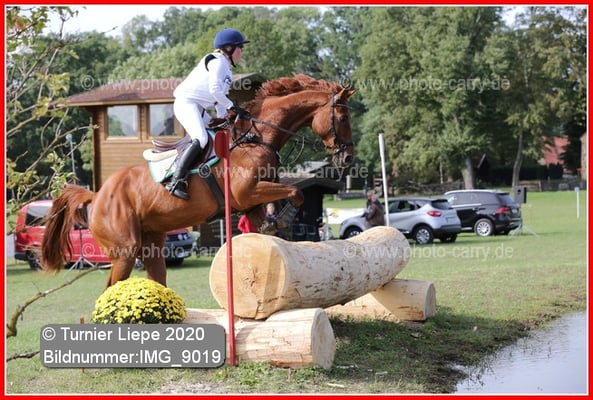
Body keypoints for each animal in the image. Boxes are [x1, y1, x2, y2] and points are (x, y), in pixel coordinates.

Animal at [41, 74, 356, 288]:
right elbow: (296, 193)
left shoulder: (251, 202)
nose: (348, 158)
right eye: (342, 118)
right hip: (124, 251)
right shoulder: (248, 193)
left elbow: (269, 219)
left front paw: (273, 227)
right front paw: (286, 218)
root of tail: (96, 196)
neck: (256, 138)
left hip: (152, 245)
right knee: (110, 288)